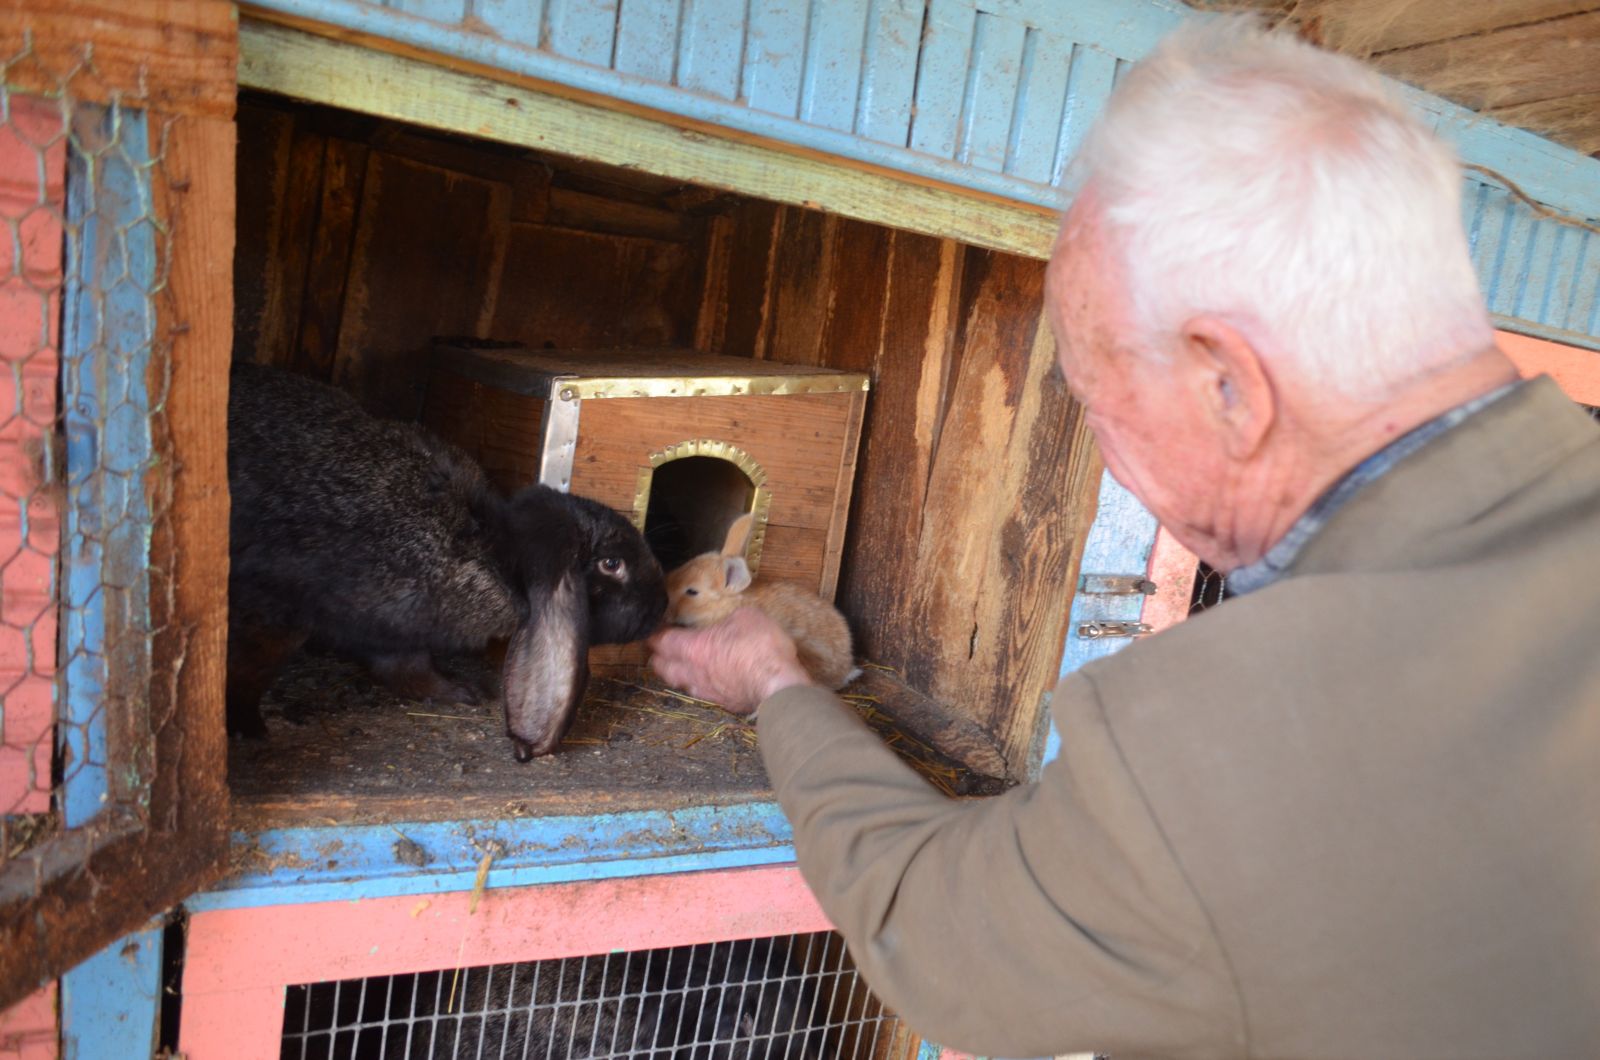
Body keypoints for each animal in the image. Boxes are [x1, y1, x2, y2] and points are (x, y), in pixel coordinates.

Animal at [225, 365, 662, 765]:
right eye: (611, 563)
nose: (660, 609)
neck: (493, 546)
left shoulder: (394, 635)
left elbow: (407, 671)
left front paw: (460, 693)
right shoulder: (276, 612)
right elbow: (249, 671)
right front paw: (249, 728)